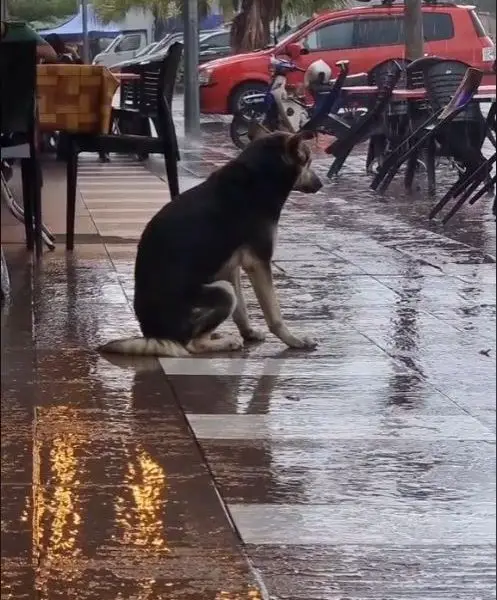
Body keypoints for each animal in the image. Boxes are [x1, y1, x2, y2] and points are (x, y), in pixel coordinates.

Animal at [99, 123, 322, 356]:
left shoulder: (230, 266)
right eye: (308, 161)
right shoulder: (258, 262)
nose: (321, 184)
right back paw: (224, 342)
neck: (260, 174)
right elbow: (274, 313)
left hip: (222, 285)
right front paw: (293, 340)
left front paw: (249, 332)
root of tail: (156, 334)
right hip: (222, 292)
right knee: (192, 344)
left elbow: (241, 310)